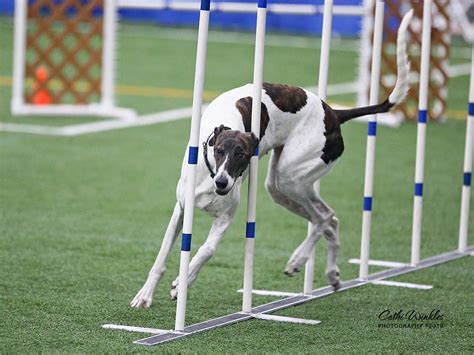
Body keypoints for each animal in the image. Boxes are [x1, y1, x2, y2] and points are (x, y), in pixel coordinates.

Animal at [130, 9, 412, 308]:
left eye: (242, 155)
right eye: (218, 151)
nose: (222, 184)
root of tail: (334, 113)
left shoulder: (225, 218)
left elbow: (207, 250)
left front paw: (182, 282)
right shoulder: (182, 210)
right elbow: (161, 257)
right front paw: (145, 295)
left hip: (291, 177)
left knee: (322, 218)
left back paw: (299, 260)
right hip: (280, 187)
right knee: (330, 218)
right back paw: (332, 274)